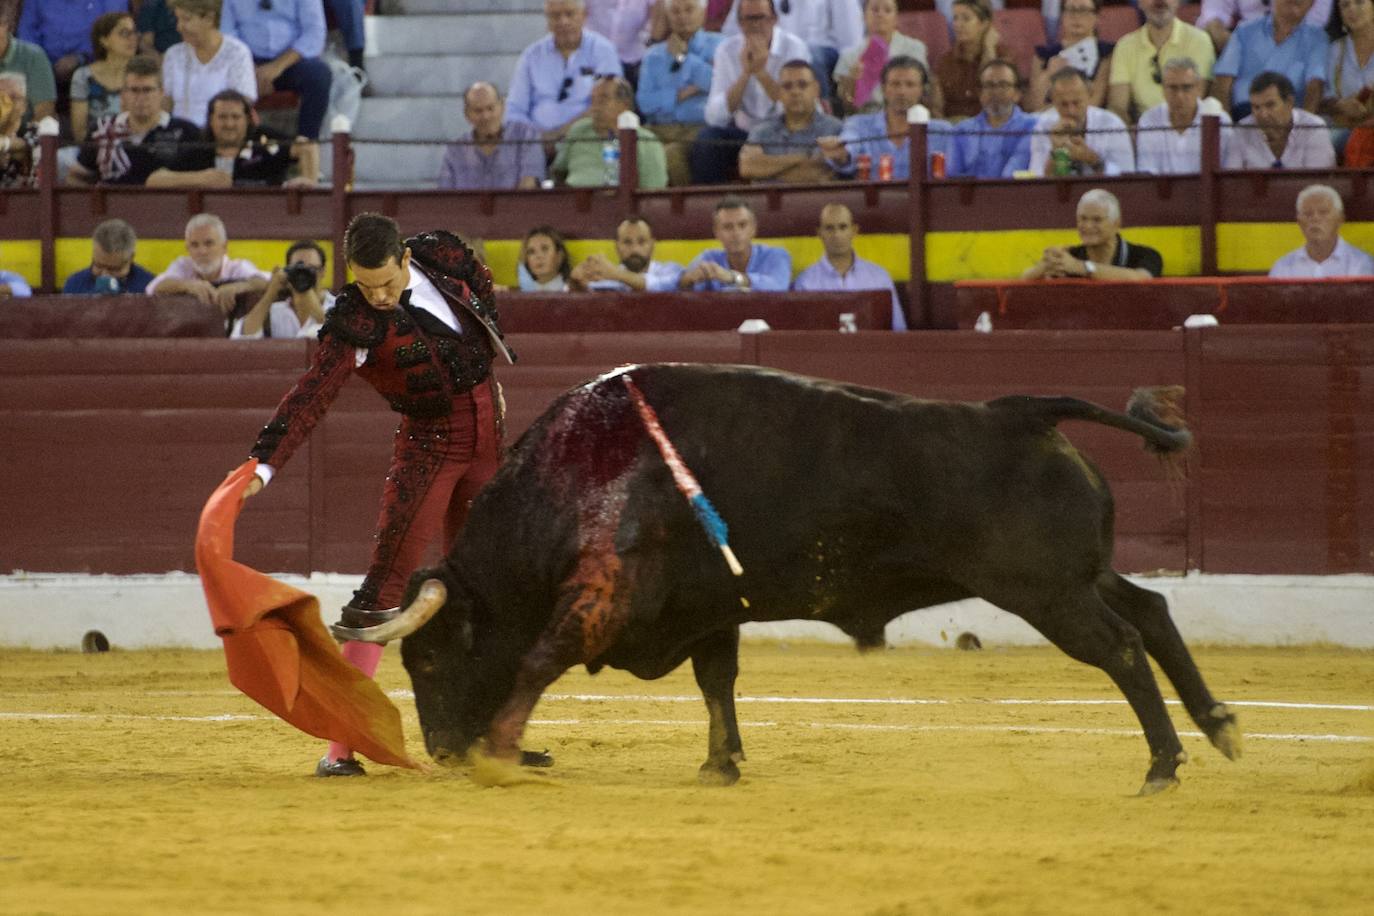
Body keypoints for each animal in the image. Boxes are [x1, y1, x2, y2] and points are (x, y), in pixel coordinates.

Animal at [348, 362, 1242, 791]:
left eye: (428, 658)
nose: (443, 751)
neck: (573, 473)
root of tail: (1024, 413)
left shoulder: (602, 594)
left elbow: (540, 658)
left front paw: (503, 752)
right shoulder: (709, 607)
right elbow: (717, 681)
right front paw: (720, 765)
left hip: (1046, 591)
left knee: (1121, 646)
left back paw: (1163, 766)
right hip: (1078, 574)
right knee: (1152, 610)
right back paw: (1219, 726)